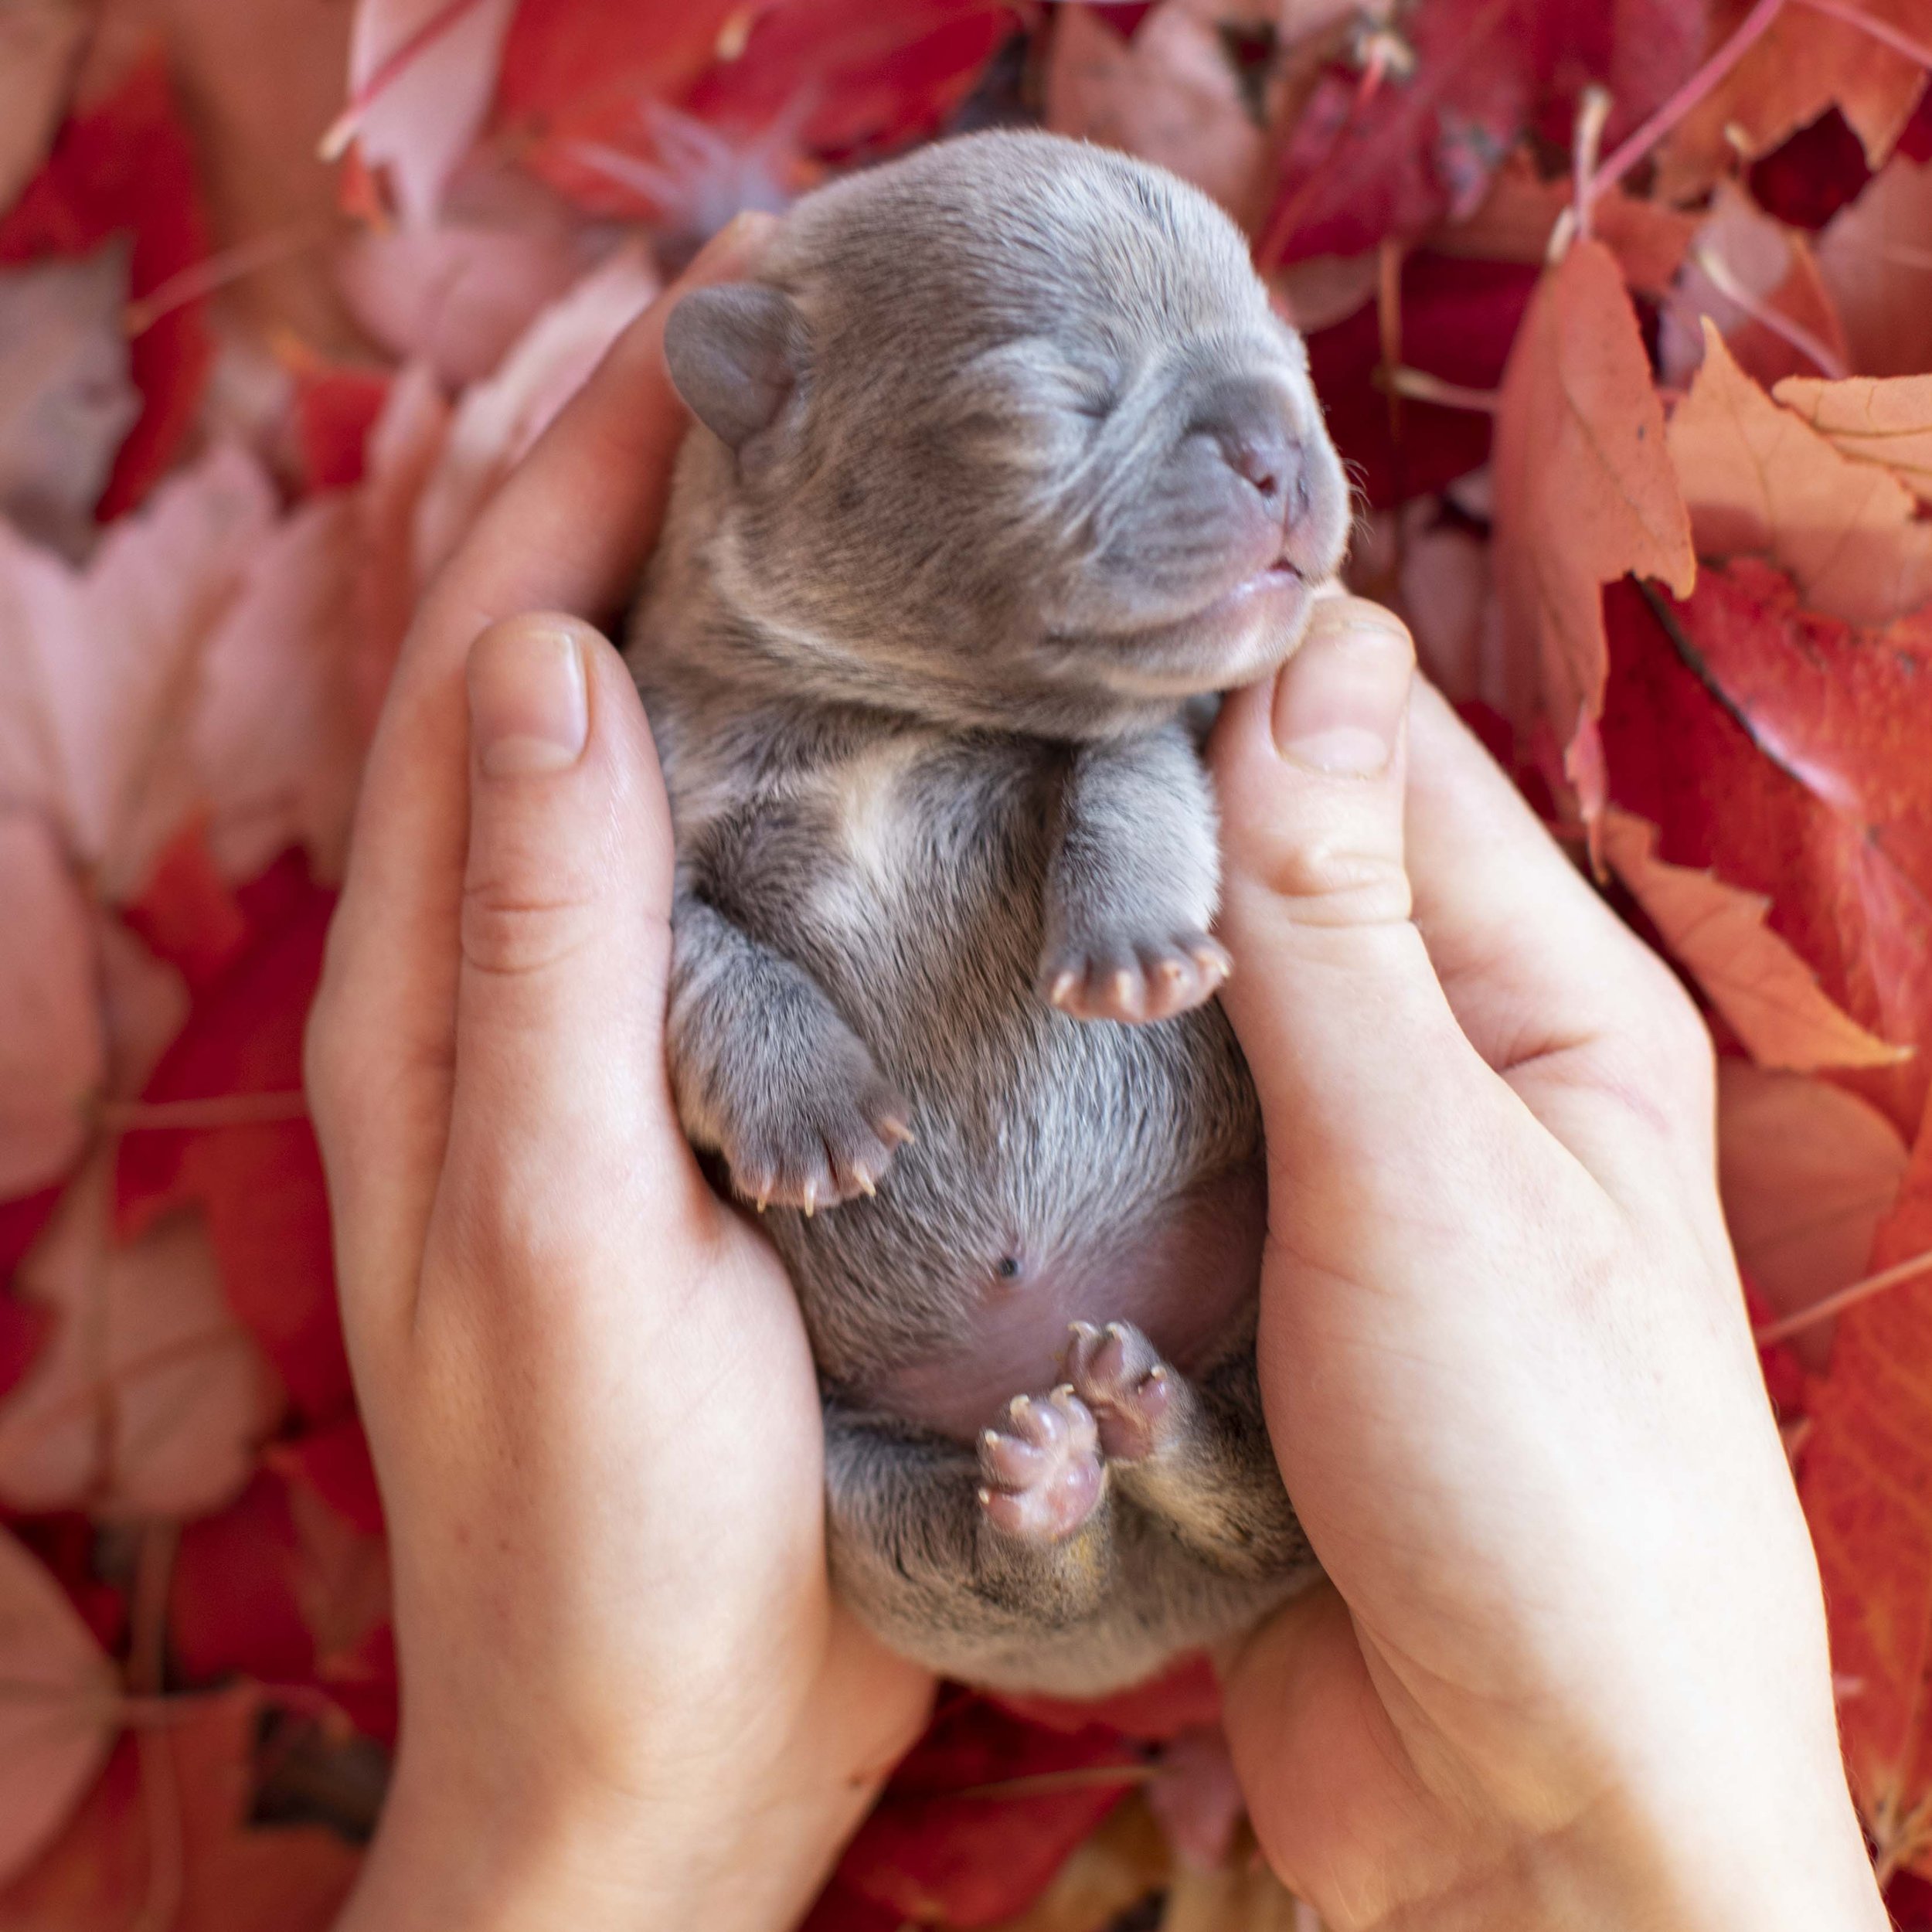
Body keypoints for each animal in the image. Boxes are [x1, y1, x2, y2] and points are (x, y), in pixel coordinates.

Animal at [626, 128, 1352, 1692]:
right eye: (1054, 404)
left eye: (1293, 352)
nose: (1281, 446)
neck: (882, 715)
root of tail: (1161, 1632)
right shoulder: (664, 814)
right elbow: (703, 958)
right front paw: (811, 1113)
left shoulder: (1165, 728)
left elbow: (1131, 789)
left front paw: (1134, 943)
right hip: (862, 1499)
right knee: (1019, 1577)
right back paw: (1056, 1492)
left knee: (1267, 1500)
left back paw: (1148, 1424)